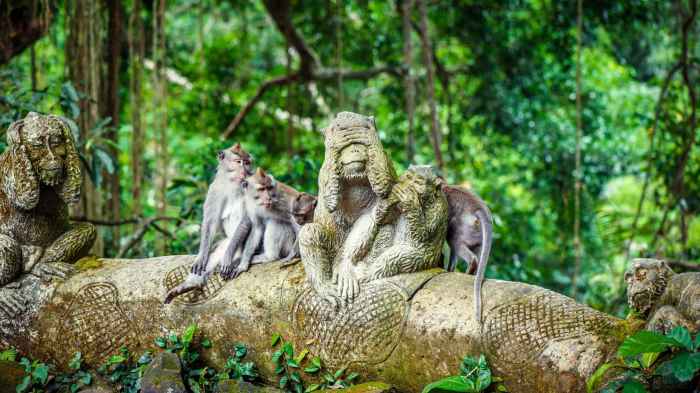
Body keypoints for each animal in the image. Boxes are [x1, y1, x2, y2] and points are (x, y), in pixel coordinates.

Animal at [0, 113, 95, 318]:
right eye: (38, 146)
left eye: (56, 143)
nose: (52, 158)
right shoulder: (6, 169)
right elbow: (24, 195)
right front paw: (14, 134)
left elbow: (70, 190)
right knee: (7, 244)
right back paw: (4, 293)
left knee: (88, 229)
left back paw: (44, 265)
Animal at [163, 143, 253, 304]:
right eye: (238, 162)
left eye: (248, 163)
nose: (245, 171)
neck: (232, 184)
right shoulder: (214, 189)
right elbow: (210, 223)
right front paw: (201, 257)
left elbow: (246, 220)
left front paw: (227, 258)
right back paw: (190, 285)